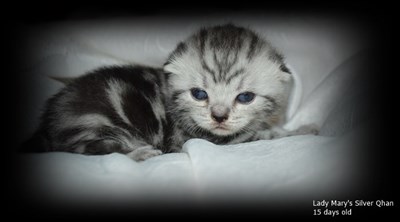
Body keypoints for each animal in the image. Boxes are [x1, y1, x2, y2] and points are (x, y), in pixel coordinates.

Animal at [23, 23, 314, 161]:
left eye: (245, 97)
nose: (219, 117)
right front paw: (304, 130)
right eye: (199, 94)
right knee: (88, 148)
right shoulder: (203, 140)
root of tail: (47, 120)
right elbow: (266, 135)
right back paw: (140, 153)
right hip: (95, 125)